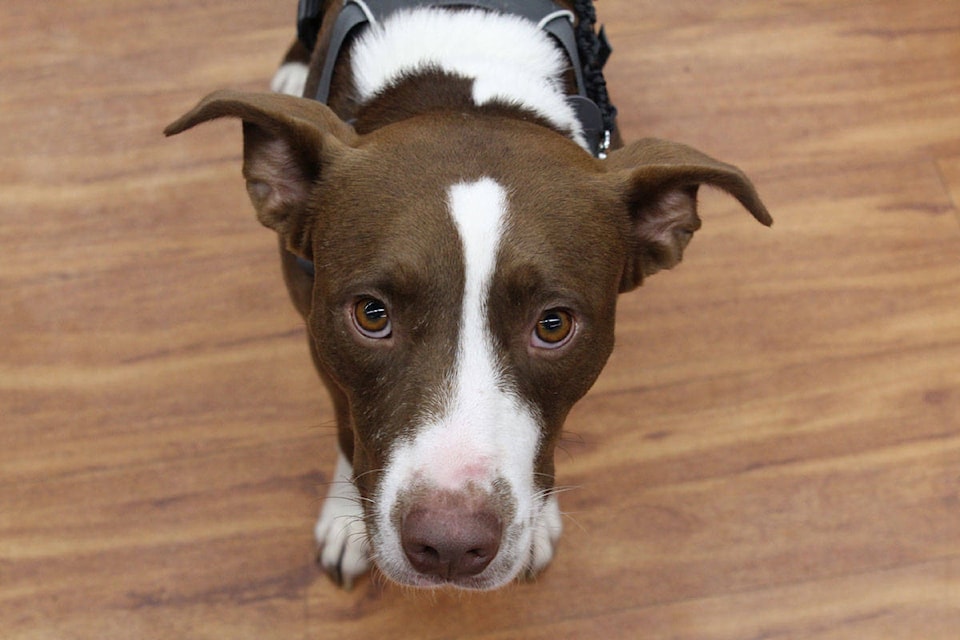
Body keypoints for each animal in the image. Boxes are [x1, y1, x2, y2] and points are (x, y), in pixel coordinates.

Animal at [161, 0, 768, 592]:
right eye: (371, 315)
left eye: (553, 325)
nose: (449, 546)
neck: (469, 92)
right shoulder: (319, 334)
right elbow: (345, 424)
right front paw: (345, 520)